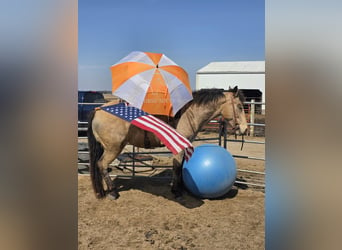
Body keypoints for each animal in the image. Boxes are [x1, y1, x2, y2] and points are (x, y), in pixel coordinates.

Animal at [87, 87, 248, 200]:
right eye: (240, 107)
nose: (245, 129)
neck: (188, 114)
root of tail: (98, 110)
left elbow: (181, 167)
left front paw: (180, 188)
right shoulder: (179, 148)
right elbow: (177, 168)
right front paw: (177, 192)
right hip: (113, 148)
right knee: (102, 165)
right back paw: (112, 192)